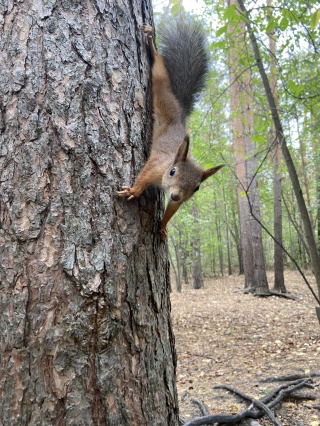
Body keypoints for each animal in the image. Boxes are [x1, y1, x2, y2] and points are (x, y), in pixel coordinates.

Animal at [116, 20, 224, 240]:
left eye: (197, 188)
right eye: (173, 171)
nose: (174, 194)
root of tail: (181, 113)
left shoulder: (178, 201)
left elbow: (172, 211)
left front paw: (163, 225)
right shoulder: (155, 166)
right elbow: (143, 177)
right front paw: (133, 191)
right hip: (164, 93)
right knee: (160, 71)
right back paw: (151, 44)